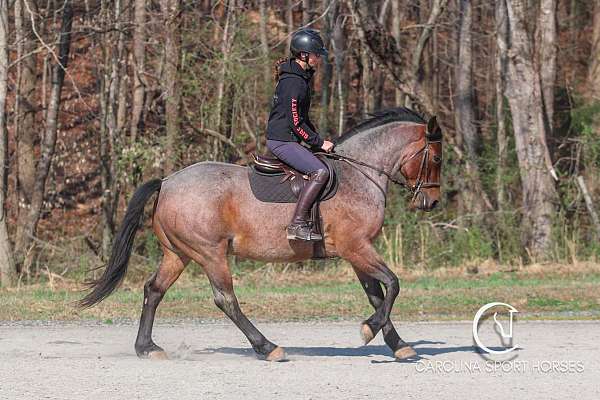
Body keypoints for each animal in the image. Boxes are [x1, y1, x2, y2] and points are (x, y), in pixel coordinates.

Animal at [79, 108, 442, 360]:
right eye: (436, 158)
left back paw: (146, 347)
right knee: (225, 299)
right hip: (210, 252)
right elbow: (393, 284)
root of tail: (167, 182)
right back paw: (267, 347)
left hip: (178, 253)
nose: (433, 202)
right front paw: (370, 330)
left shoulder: (355, 253)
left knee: (154, 290)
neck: (359, 174)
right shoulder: (356, 247)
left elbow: (378, 295)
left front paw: (397, 344)